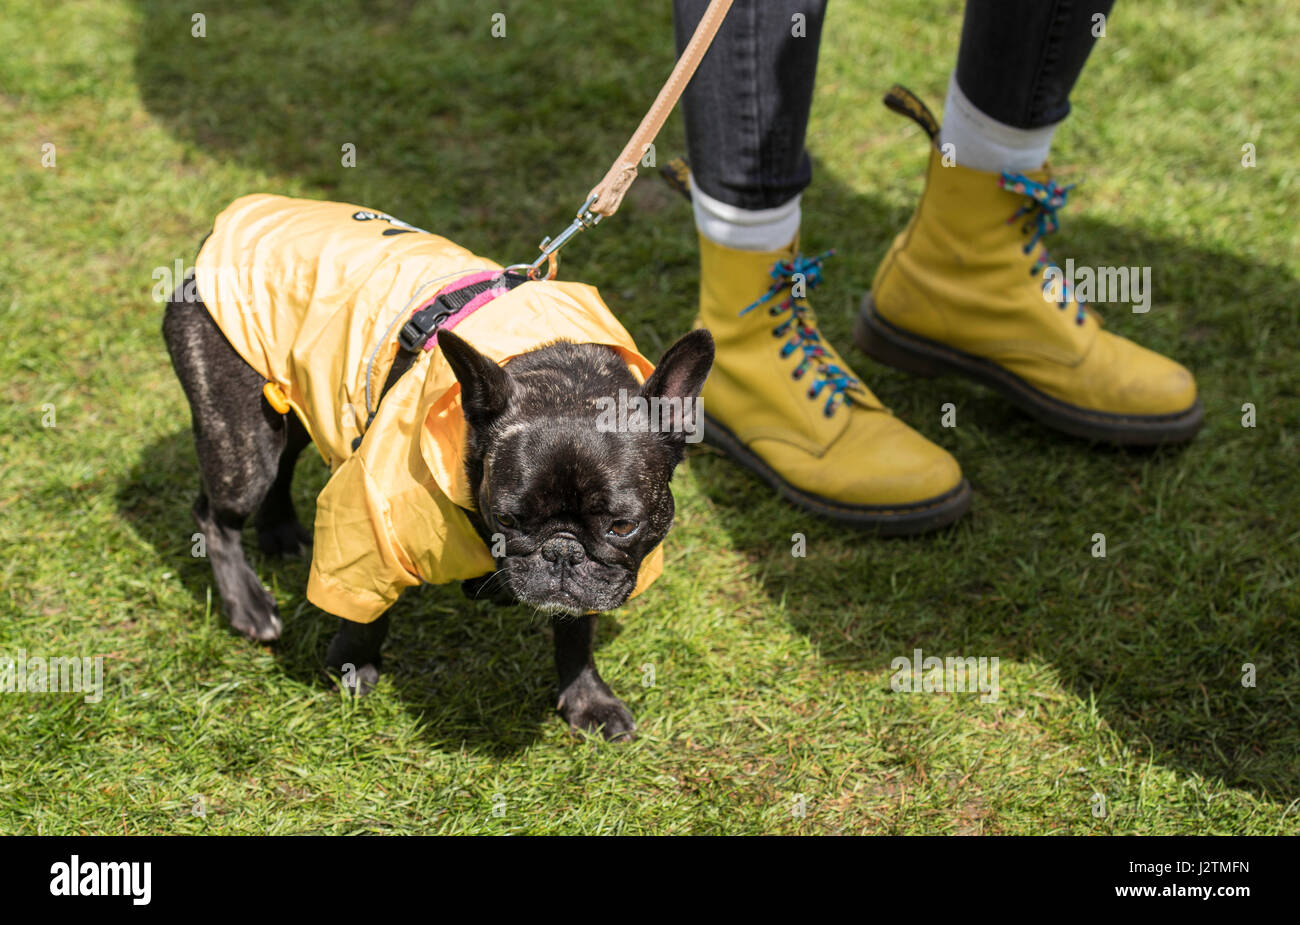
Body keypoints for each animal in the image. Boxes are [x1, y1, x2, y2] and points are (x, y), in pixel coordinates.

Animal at [163, 226, 717, 743]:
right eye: (508, 517)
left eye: (623, 526)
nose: (561, 552)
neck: (563, 376)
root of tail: (215, 237)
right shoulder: (368, 524)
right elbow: (364, 609)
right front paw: (351, 667)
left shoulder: (595, 581)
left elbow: (577, 627)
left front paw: (586, 699)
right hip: (243, 445)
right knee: (216, 514)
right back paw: (248, 605)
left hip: (293, 407)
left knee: (282, 466)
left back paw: (279, 533)